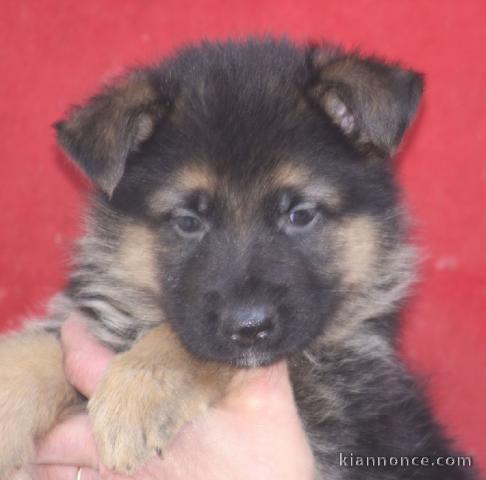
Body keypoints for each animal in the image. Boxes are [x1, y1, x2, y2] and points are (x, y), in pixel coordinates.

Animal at [0, 38, 474, 480]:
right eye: (189, 221)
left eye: (300, 214)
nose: (249, 327)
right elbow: (45, 341)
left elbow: (186, 342)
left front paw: (140, 388)